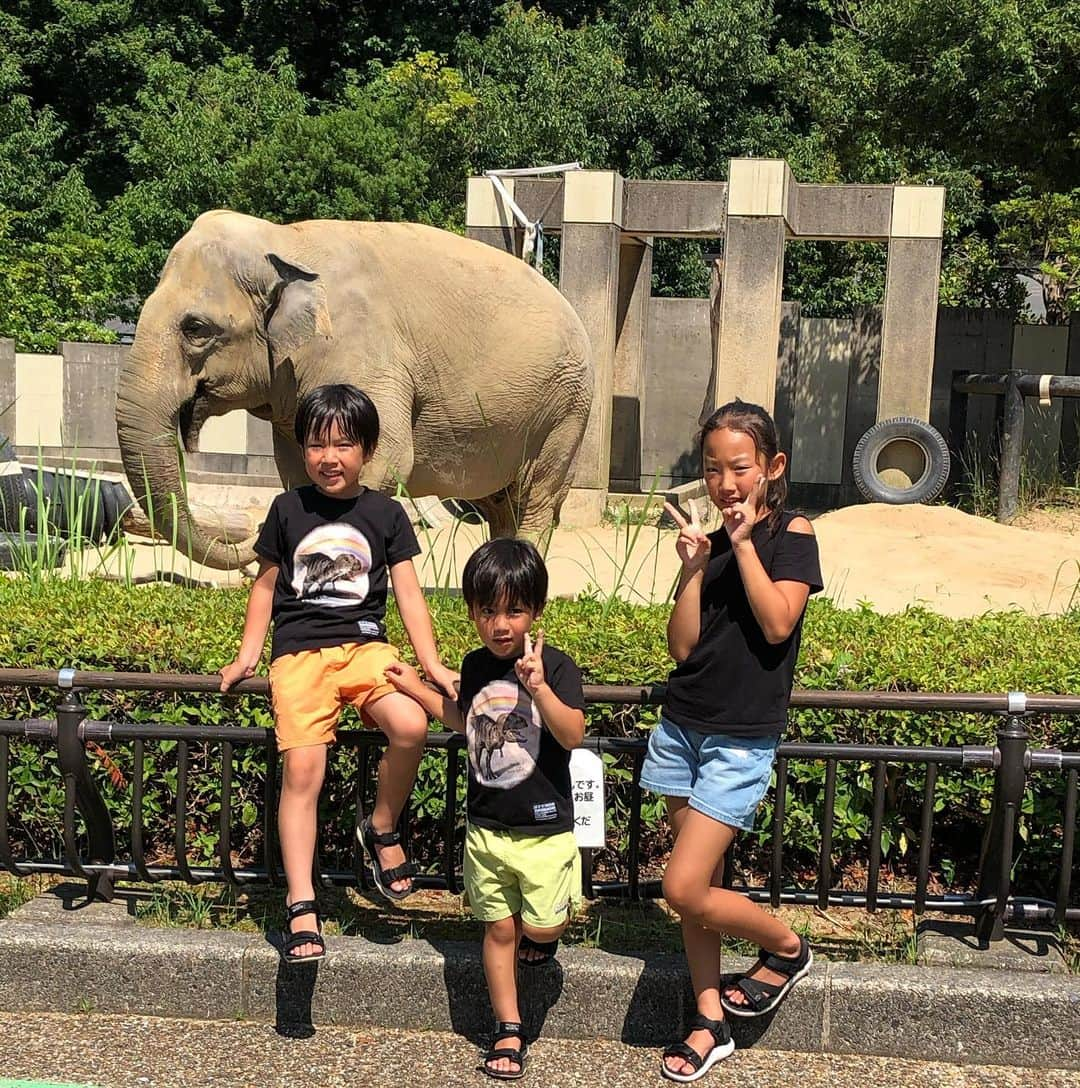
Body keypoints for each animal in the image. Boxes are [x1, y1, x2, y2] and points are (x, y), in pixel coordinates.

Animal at [119, 209, 596, 570]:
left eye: (196, 328)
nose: (250, 539)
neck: (283, 240)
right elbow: (297, 470)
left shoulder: (363, 354)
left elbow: (385, 458)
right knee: (499, 505)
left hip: (566, 410)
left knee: (535, 499)